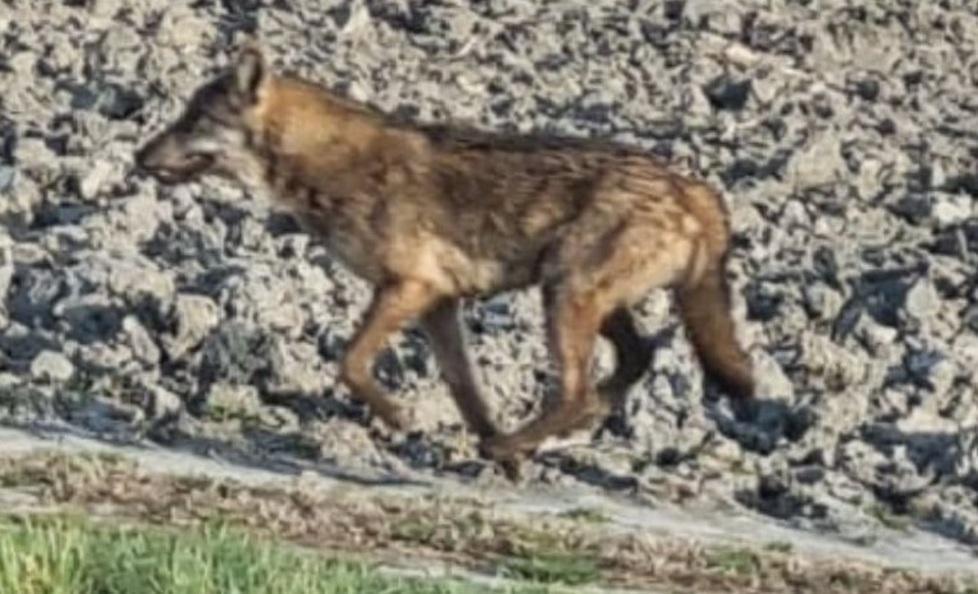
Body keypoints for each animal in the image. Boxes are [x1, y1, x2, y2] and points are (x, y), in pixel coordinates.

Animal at [135, 44, 756, 471]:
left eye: (193, 120)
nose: (138, 156)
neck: (325, 162)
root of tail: (691, 187)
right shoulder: (438, 304)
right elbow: (465, 390)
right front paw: (499, 458)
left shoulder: (408, 288)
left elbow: (350, 363)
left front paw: (403, 418)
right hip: (584, 300)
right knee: (634, 361)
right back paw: (544, 434)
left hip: (565, 296)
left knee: (577, 390)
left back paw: (524, 436)